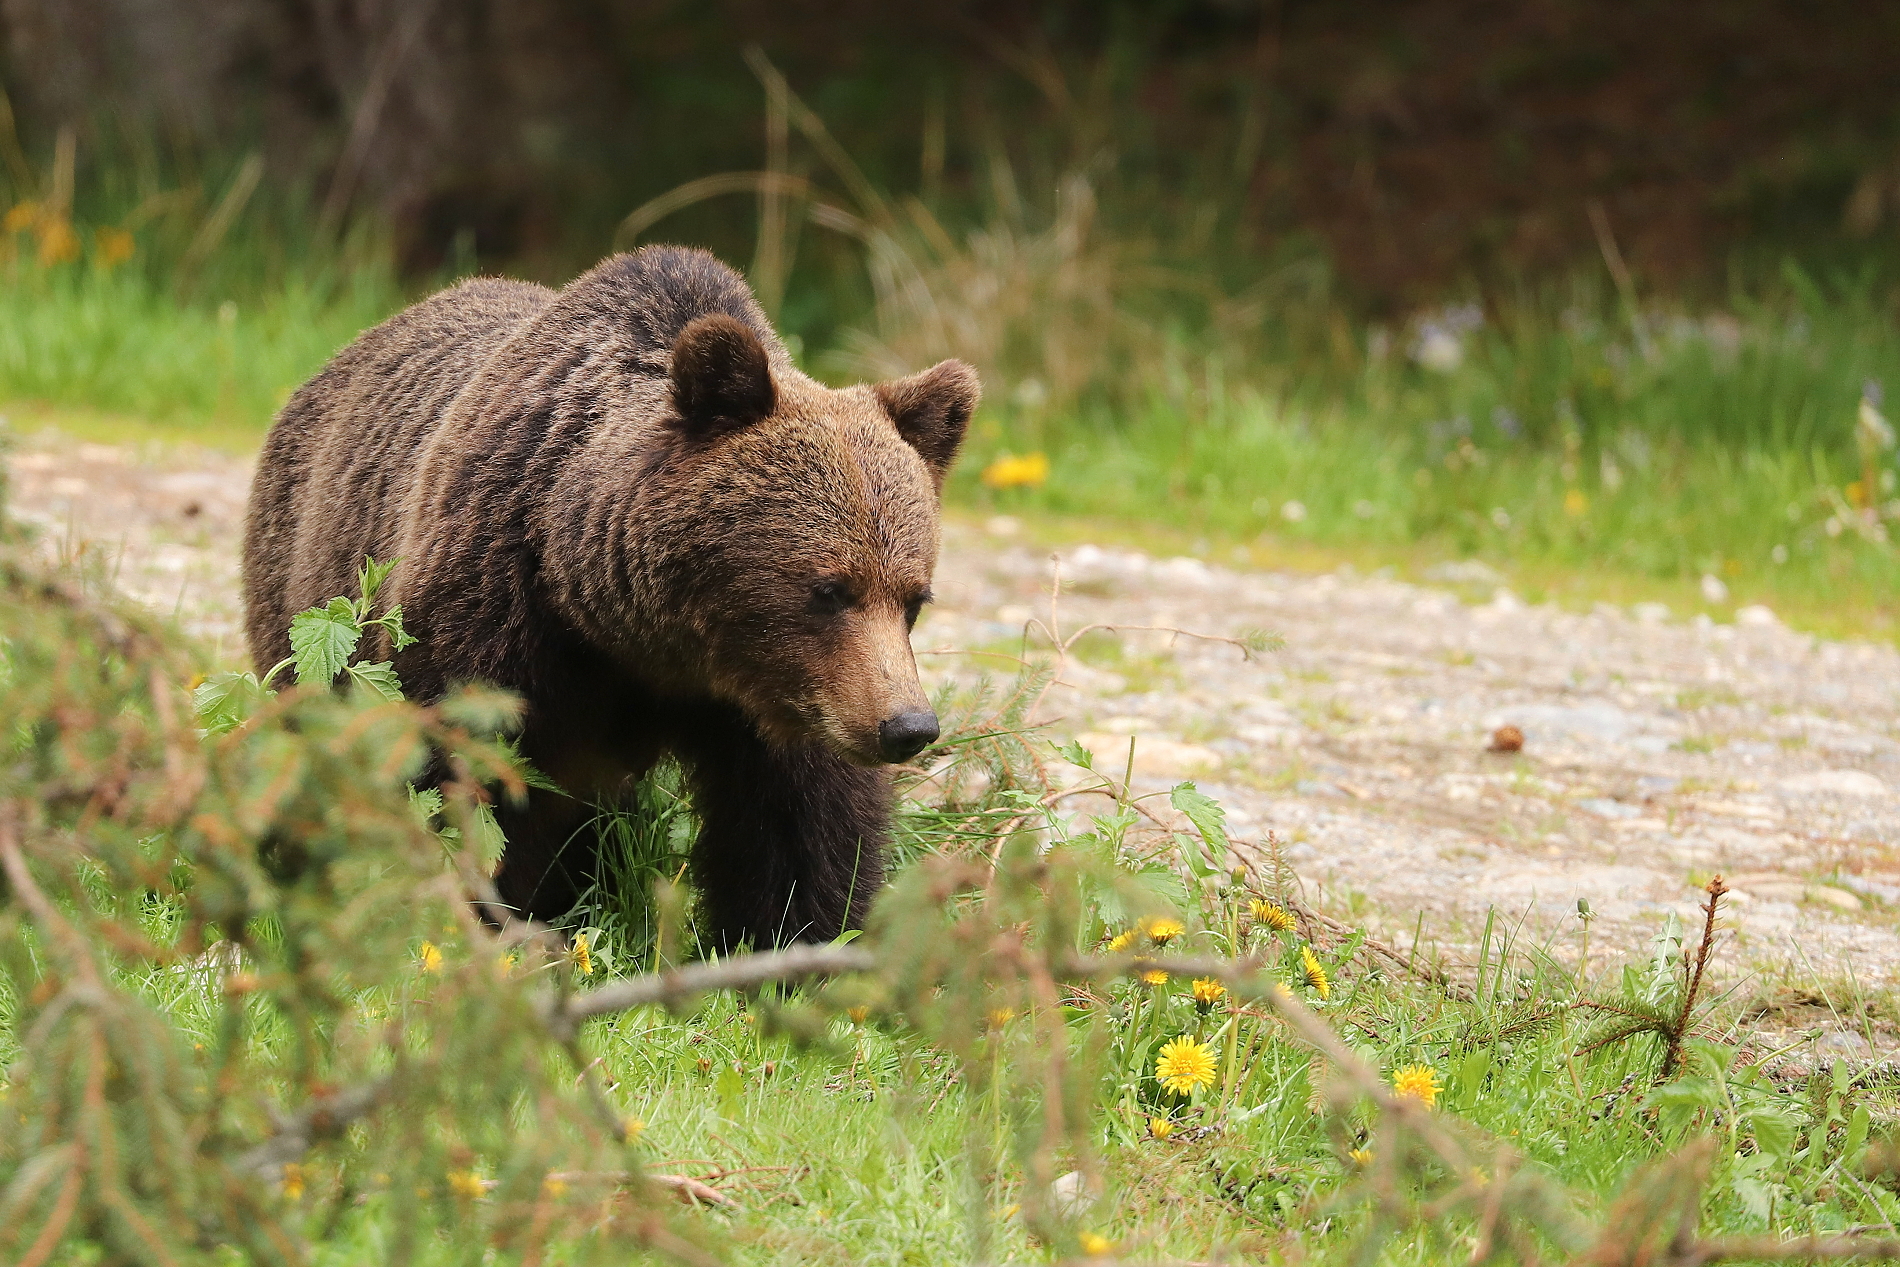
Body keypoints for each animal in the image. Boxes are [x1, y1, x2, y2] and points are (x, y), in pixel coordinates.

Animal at [241, 245, 980, 949]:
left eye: (913, 598)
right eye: (829, 589)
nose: (908, 726)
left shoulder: (787, 699)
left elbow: (801, 820)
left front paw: (794, 944)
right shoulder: (492, 618)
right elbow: (464, 779)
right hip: (307, 600)